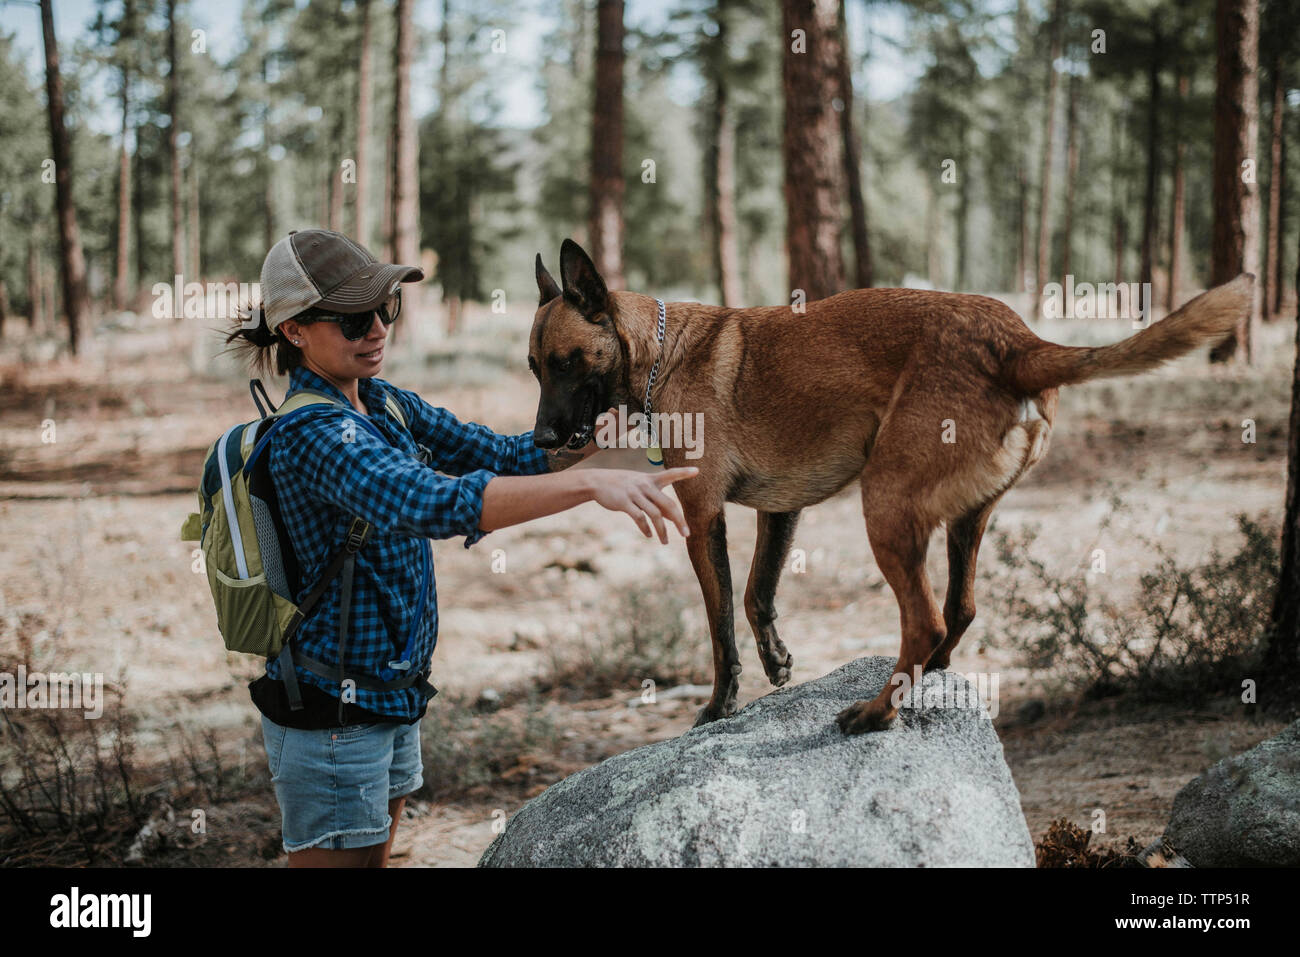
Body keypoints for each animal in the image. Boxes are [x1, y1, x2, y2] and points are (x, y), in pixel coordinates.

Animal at [525, 239, 1248, 733]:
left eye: (565, 362)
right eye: (533, 367)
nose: (540, 439)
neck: (662, 353)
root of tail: (1018, 342)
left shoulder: (703, 518)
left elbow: (721, 624)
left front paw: (720, 704)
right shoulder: (779, 511)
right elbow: (759, 596)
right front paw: (779, 663)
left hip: (885, 505)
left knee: (925, 619)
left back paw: (875, 713)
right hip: (962, 519)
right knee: (958, 611)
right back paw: (923, 679)